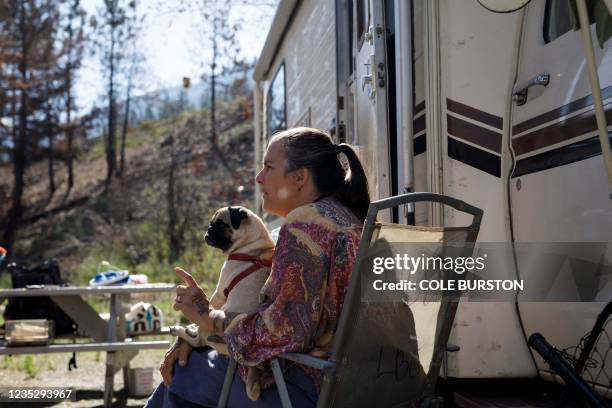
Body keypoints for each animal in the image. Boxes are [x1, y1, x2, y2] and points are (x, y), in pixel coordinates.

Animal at [167, 206, 272, 400]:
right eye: (212, 223)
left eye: (221, 225)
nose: (208, 230)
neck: (253, 245)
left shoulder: (219, 292)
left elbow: (210, 304)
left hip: (211, 328)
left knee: (198, 340)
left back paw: (180, 329)